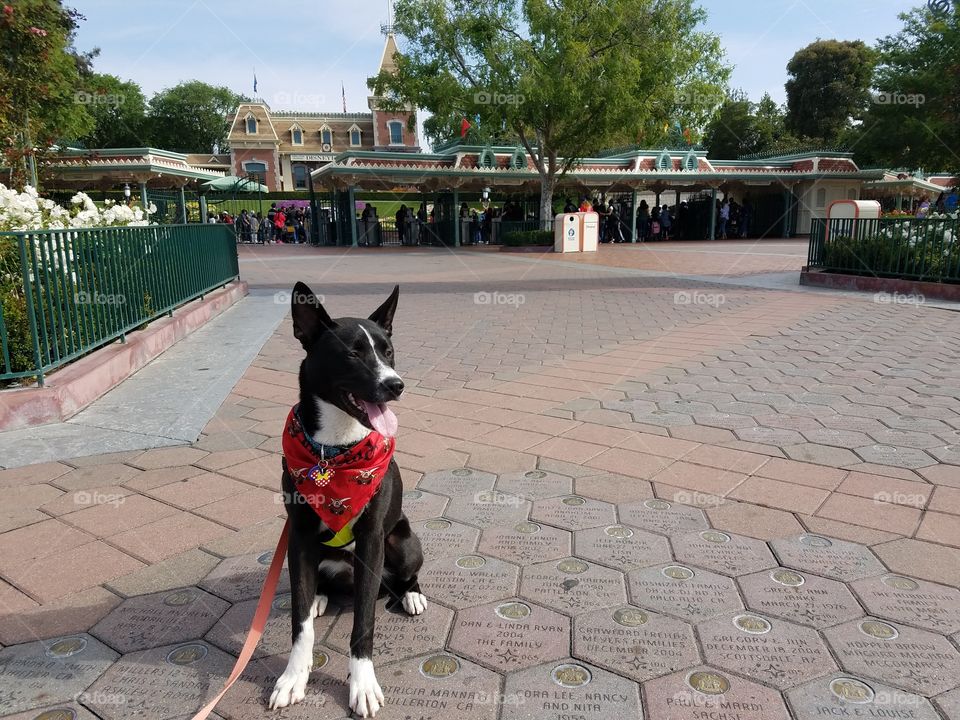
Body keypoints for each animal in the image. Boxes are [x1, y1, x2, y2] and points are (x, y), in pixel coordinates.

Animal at [268, 282, 422, 716]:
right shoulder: (299, 536)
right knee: (317, 586)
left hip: (402, 542)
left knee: (406, 574)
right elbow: (300, 623)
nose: (396, 384)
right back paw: (320, 595)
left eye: (388, 351)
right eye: (352, 353)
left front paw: (363, 684)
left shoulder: (371, 540)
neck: (333, 451)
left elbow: (363, 623)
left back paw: (412, 595)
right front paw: (293, 676)